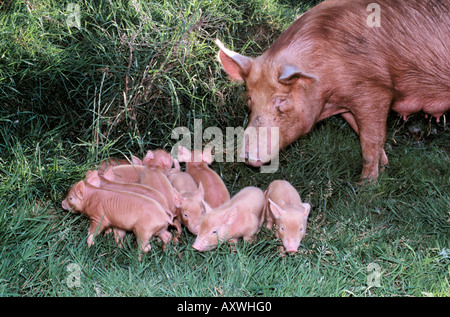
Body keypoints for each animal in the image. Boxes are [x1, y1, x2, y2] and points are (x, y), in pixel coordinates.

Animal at [216, 0, 448, 181]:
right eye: (249, 100)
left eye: (281, 101)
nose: (244, 155)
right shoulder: (347, 104)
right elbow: (361, 132)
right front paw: (385, 167)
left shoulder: (375, 89)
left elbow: (370, 140)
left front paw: (365, 185)